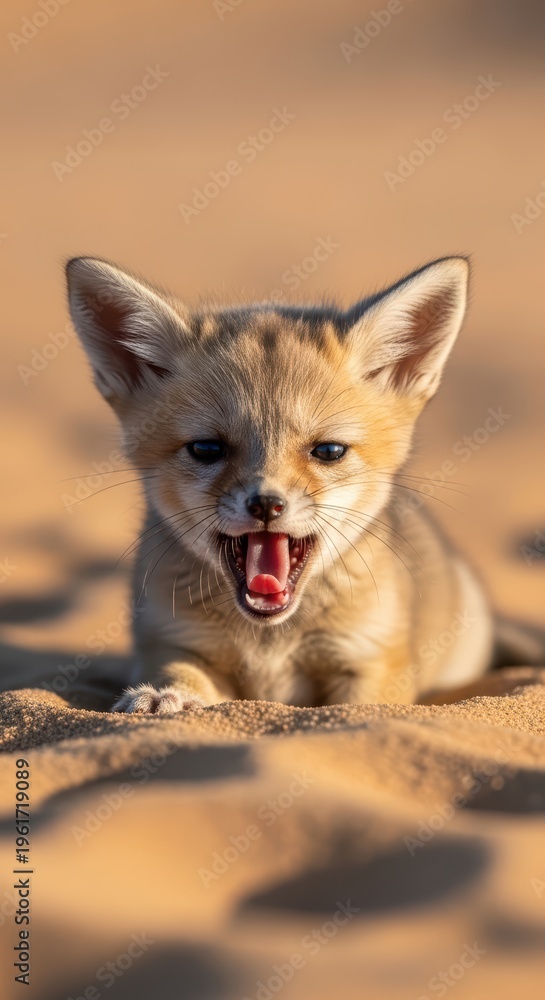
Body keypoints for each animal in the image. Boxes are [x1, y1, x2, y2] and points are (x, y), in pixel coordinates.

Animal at [66, 254, 497, 714]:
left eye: (328, 451)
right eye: (206, 448)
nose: (266, 505)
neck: (269, 642)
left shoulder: (371, 656)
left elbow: (363, 710)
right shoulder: (173, 641)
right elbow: (178, 674)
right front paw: (166, 697)